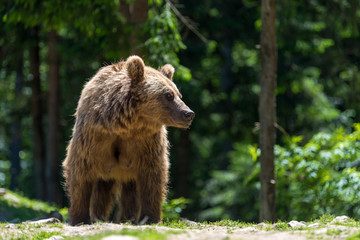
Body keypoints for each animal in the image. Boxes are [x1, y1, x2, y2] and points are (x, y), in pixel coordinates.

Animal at [63, 55, 195, 226]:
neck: (126, 125)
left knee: (129, 192)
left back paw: (127, 218)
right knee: (102, 190)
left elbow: (153, 177)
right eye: (168, 95)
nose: (189, 113)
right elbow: (81, 173)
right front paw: (80, 218)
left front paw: (150, 218)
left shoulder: (146, 142)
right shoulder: (94, 137)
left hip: (128, 172)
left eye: (179, 94)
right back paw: (99, 217)